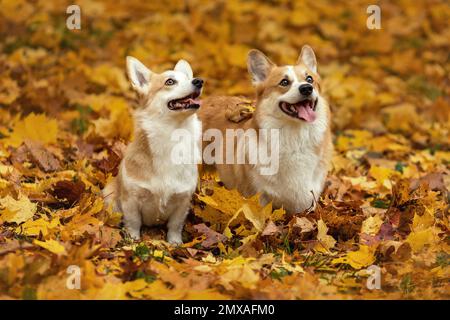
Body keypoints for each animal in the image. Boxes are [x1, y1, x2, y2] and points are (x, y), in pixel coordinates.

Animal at [103, 56, 203, 244]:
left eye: (189, 78)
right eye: (170, 81)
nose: (199, 81)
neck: (171, 134)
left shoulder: (182, 201)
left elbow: (175, 225)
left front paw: (175, 243)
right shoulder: (131, 200)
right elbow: (133, 222)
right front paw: (133, 239)